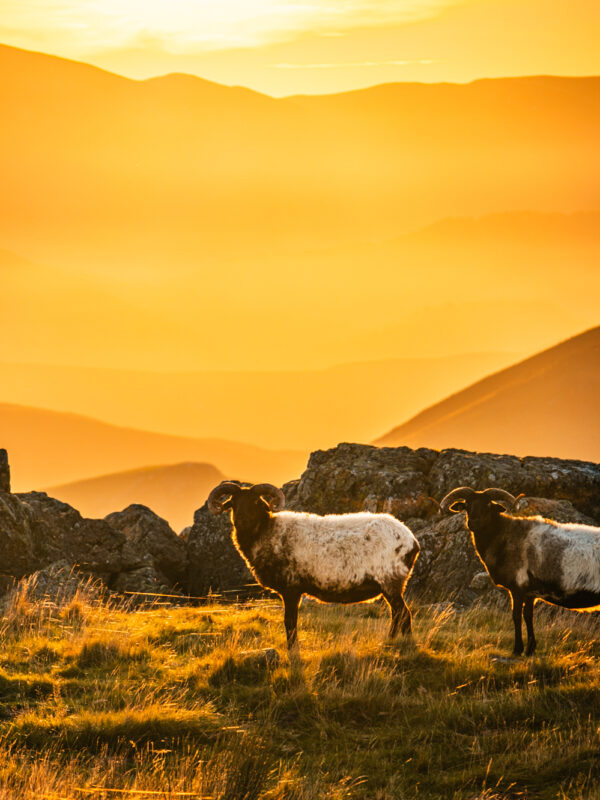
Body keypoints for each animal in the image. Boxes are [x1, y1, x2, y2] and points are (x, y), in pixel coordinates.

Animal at [209, 482, 420, 648]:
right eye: (233, 503)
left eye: (255, 502)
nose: (241, 521)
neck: (267, 532)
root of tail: (412, 541)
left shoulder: (291, 589)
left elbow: (290, 622)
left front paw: (292, 650)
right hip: (390, 585)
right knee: (397, 614)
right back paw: (390, 641)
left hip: (390, 580)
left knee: (403, 614)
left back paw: (405, 644)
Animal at [438, 488, 600, 656]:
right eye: (467, 505)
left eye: (489, 505)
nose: (473, 523)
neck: (504, 537)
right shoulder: (530, 592)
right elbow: (528, 616)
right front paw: (530, 649)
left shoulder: (518, 587)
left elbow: (516, 616)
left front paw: (517, 649)